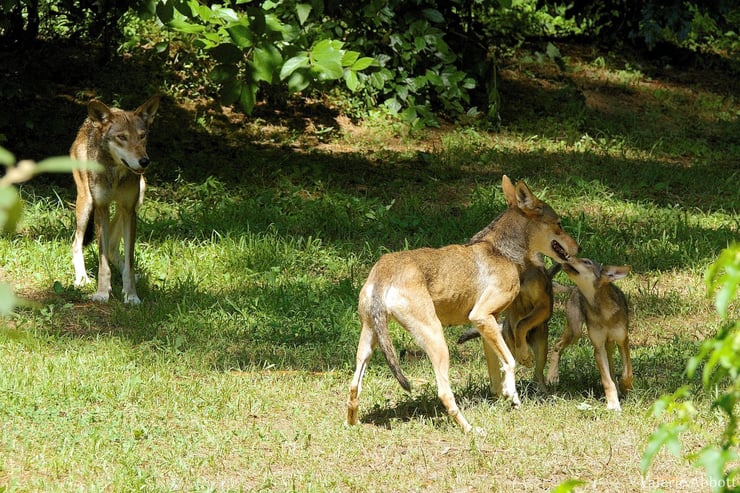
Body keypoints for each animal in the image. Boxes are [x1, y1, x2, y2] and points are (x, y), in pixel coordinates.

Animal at [71, 96, 160, 304]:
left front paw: (131, 295)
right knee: (76, 243)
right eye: (122, 137)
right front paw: (102, 293)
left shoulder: (129, 209)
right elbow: (102, 262)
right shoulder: (101, 208)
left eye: (142, 136)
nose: (144, 161)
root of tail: (88, 122)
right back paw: (82, 279)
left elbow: (130, 259)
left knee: (111, 244)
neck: (116, 174)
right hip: (86, 204)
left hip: (138, 196)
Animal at [345, 175, 579, 432]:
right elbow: (510, 362)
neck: (502, 250)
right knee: (444, 393)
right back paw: (470, 429)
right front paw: (513, 392)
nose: (578, 248)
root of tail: (383, 273)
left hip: (369, 344)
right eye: (559, 224)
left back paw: (352, 425)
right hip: (437, 342)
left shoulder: (489, 324)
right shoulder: (480, 316)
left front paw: (505, 397)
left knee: (353, 388)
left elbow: (496, 374)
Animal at [546, 257, 632, 410]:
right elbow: (607, 381)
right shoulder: (598, 349)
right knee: (557, 345)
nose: (567, 257)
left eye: (587, 262)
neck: (602, 310)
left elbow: (627, 373)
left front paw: (624, 388)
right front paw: (613, 404)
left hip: (609, 344)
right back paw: (552, 376)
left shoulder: (623, 342)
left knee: (612, 366)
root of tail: (574, 288)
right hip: (576, 331)